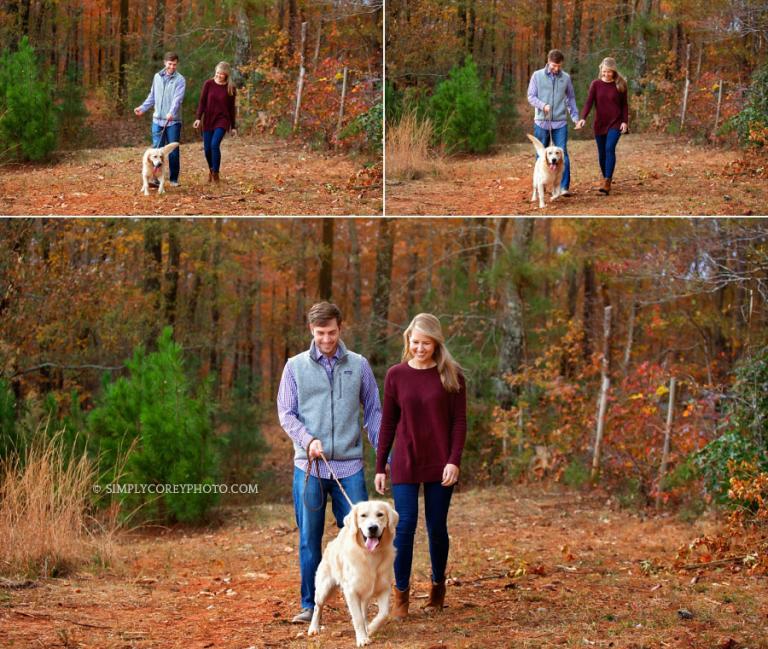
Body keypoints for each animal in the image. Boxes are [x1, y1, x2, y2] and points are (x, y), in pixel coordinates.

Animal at [308, 498, 400, 644]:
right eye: (363, 516)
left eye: (380, 514)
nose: (372, 528)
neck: (370, 555)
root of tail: (332, 543)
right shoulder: (351, 592)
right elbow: (357, 618)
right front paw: (362, 639)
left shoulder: (384, 588)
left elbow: (384, 613)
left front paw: (371, 628)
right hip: (324, 588)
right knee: (317, 606)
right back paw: (313, 628)